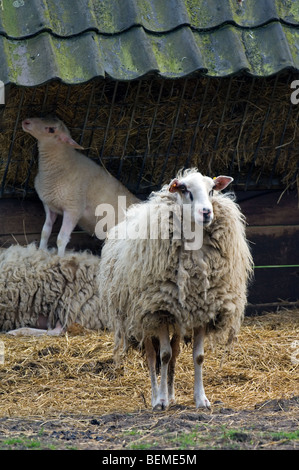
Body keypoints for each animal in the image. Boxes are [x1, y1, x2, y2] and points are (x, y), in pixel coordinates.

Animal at [22, 117, 139, 258]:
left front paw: (59, 258)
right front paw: (41, 251)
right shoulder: (50, 205)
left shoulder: (73, 209)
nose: (25, 122)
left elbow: (62, 238)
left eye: (51, 129)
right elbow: (45, 231)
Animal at [98, 170, 253, 412]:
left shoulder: (201, 311)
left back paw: (171, 395)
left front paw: (201, 399)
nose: (206, 212)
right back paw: (156, 396)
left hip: (179, 317)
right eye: (184, 189)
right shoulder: (159, 310)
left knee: (176, 351)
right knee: (153, 356)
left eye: (212, 190)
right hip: (143, 318)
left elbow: (197, 357)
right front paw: (160, 401)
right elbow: (163, 355)